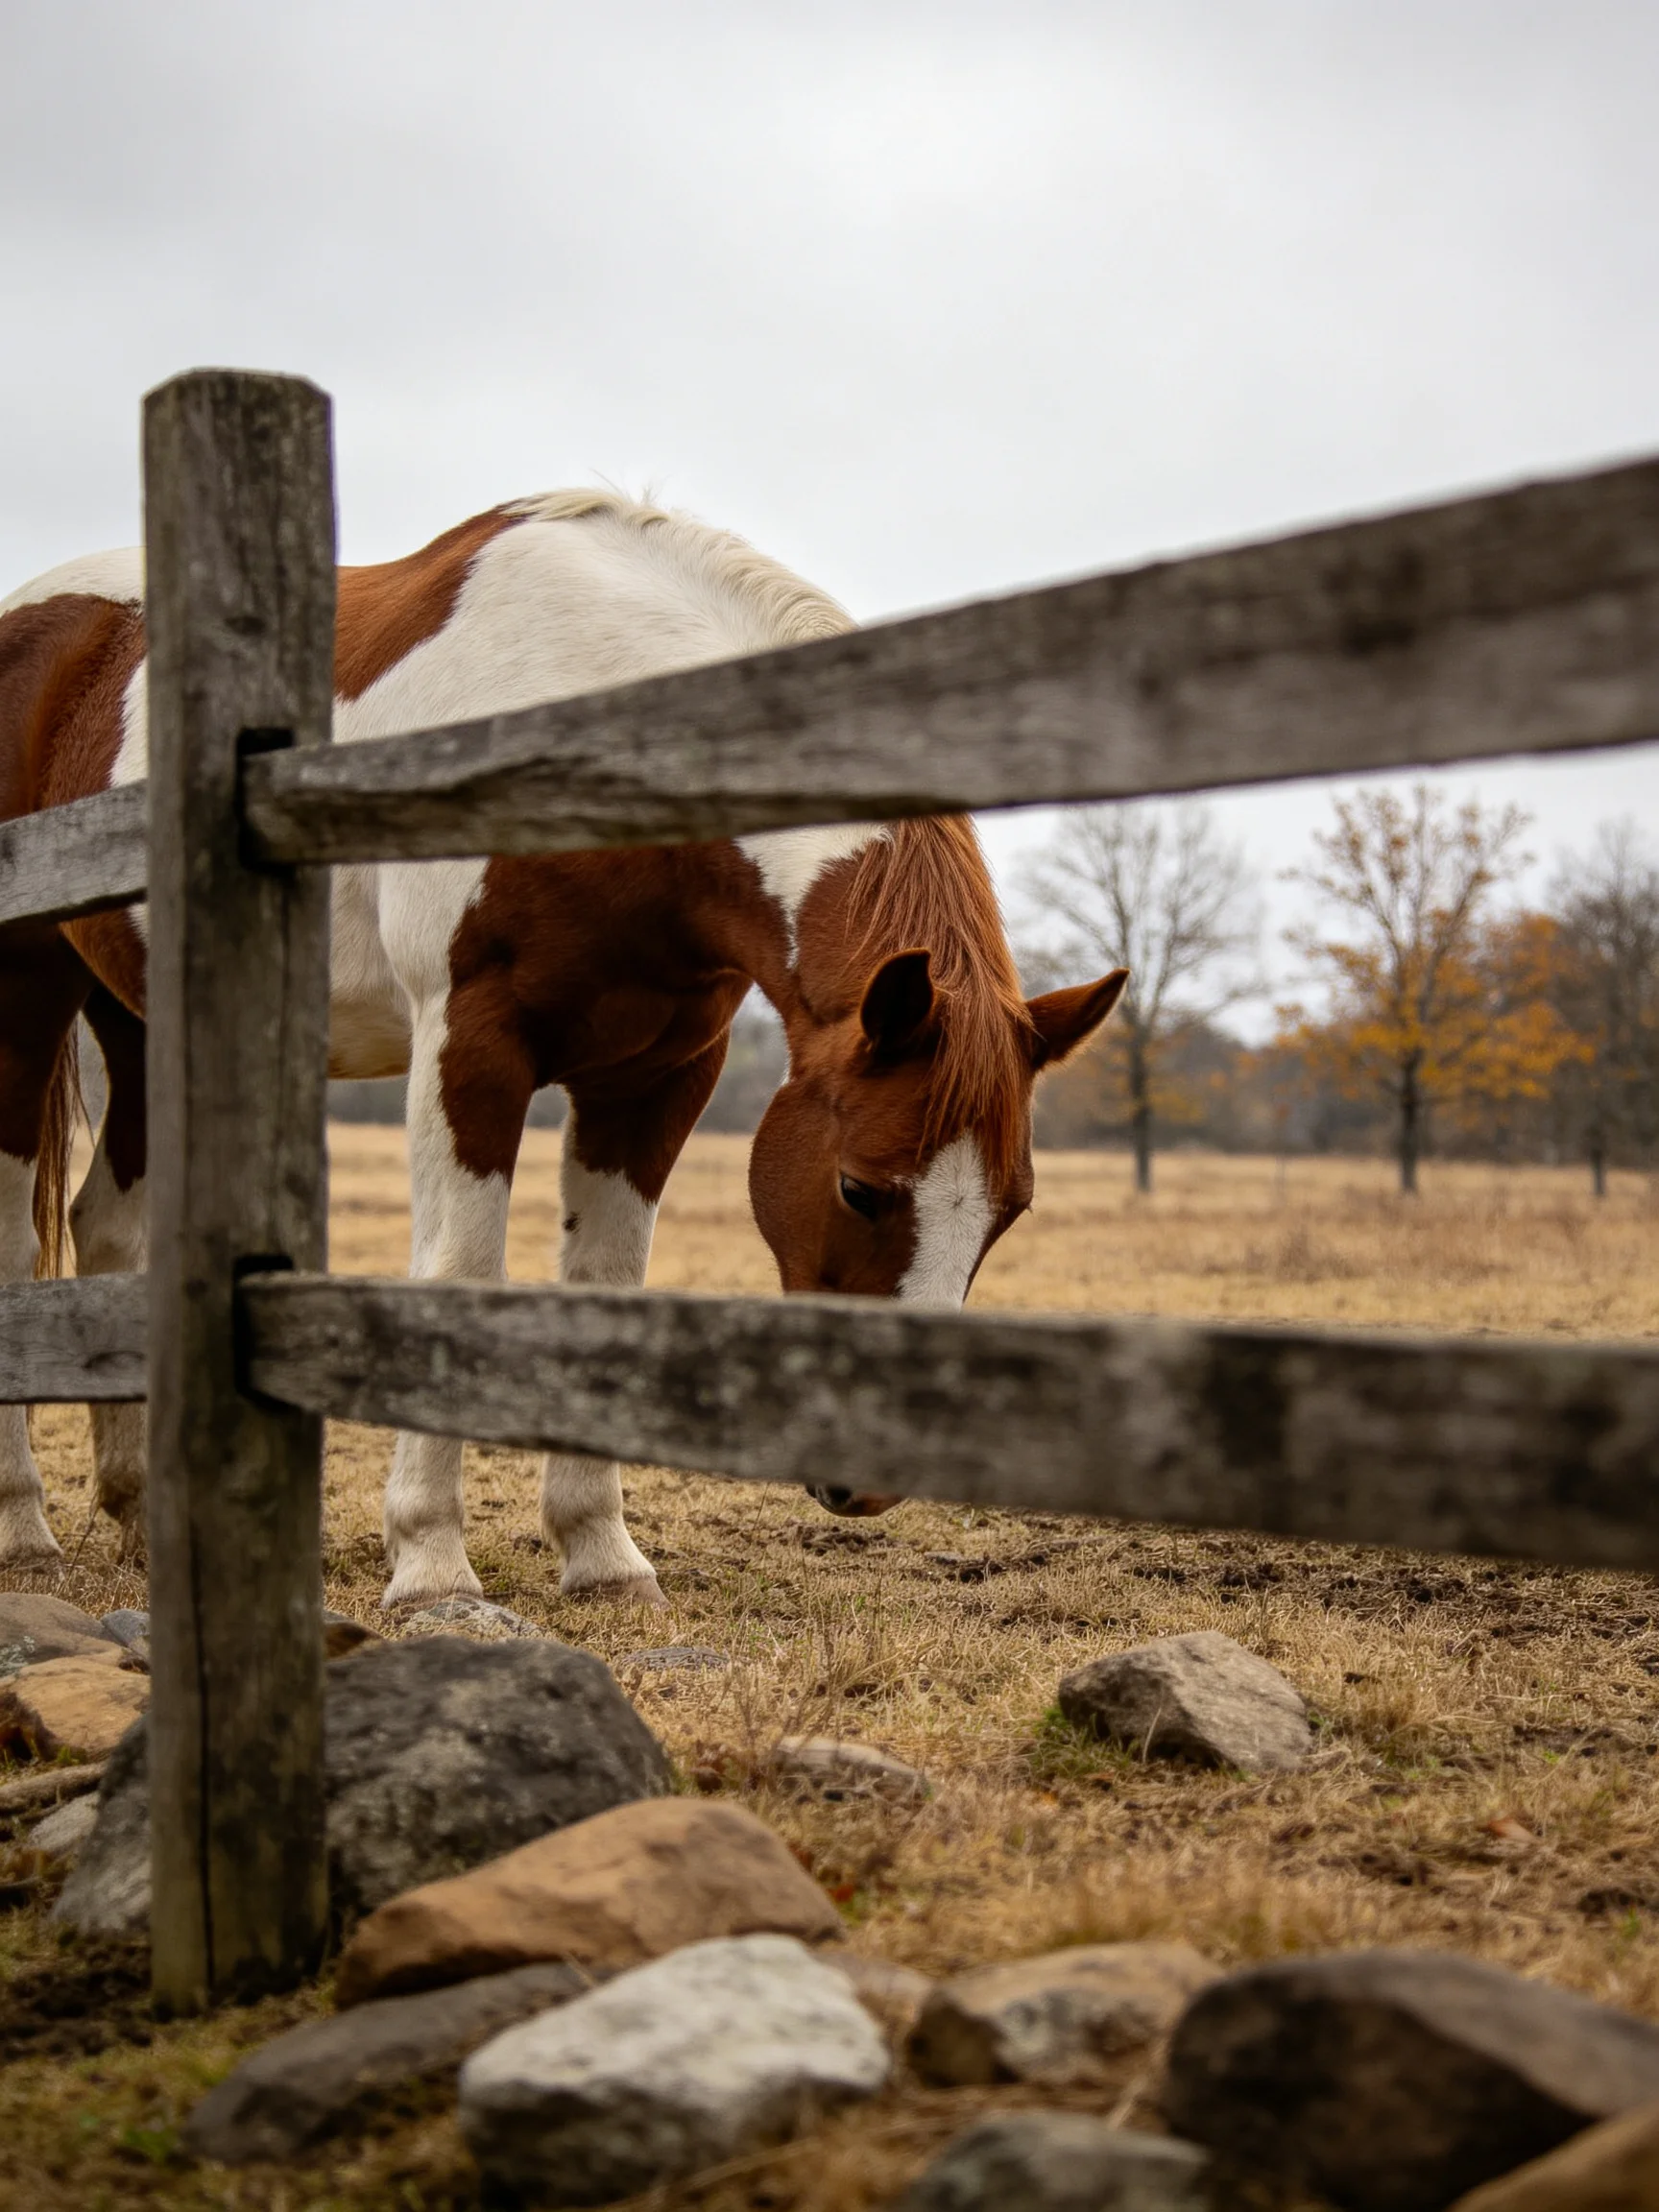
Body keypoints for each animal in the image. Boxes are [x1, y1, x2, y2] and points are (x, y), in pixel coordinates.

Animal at [0, 491, 1126, 1608]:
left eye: (1011, 1210)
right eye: (859, 1188)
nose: (874, 1484)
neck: (591, 729)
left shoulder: (657, 1077)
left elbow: (606, 1277)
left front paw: (601, 1553)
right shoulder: (469, 1046)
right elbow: (459, 1272)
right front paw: (431, 1565)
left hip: (138, 1014)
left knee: (107, 1228)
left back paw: (140, 1512)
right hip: (26, 992)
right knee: (18, 1243)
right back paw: (26, 1530)